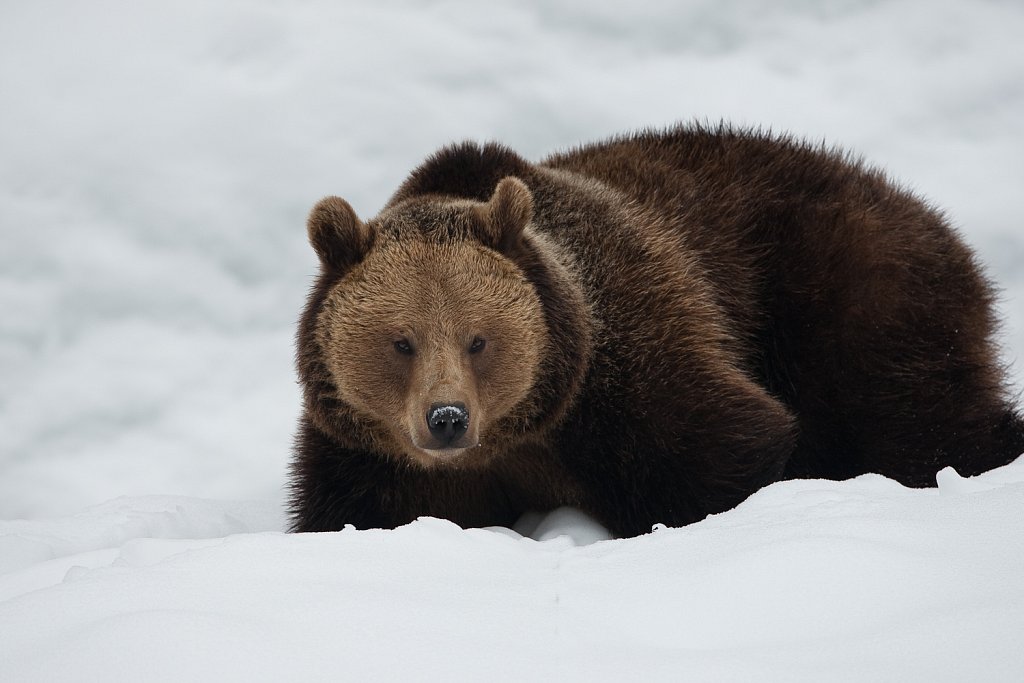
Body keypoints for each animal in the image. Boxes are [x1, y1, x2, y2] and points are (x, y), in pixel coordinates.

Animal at [288, 124, 1024, 540]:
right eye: (401, 341)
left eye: (479, 339)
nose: (446, 418)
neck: (529, 432)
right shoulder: (371, 458)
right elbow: (349, 510)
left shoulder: (633, 363)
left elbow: (721, 447)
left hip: (851, 301)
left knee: (918, 418)